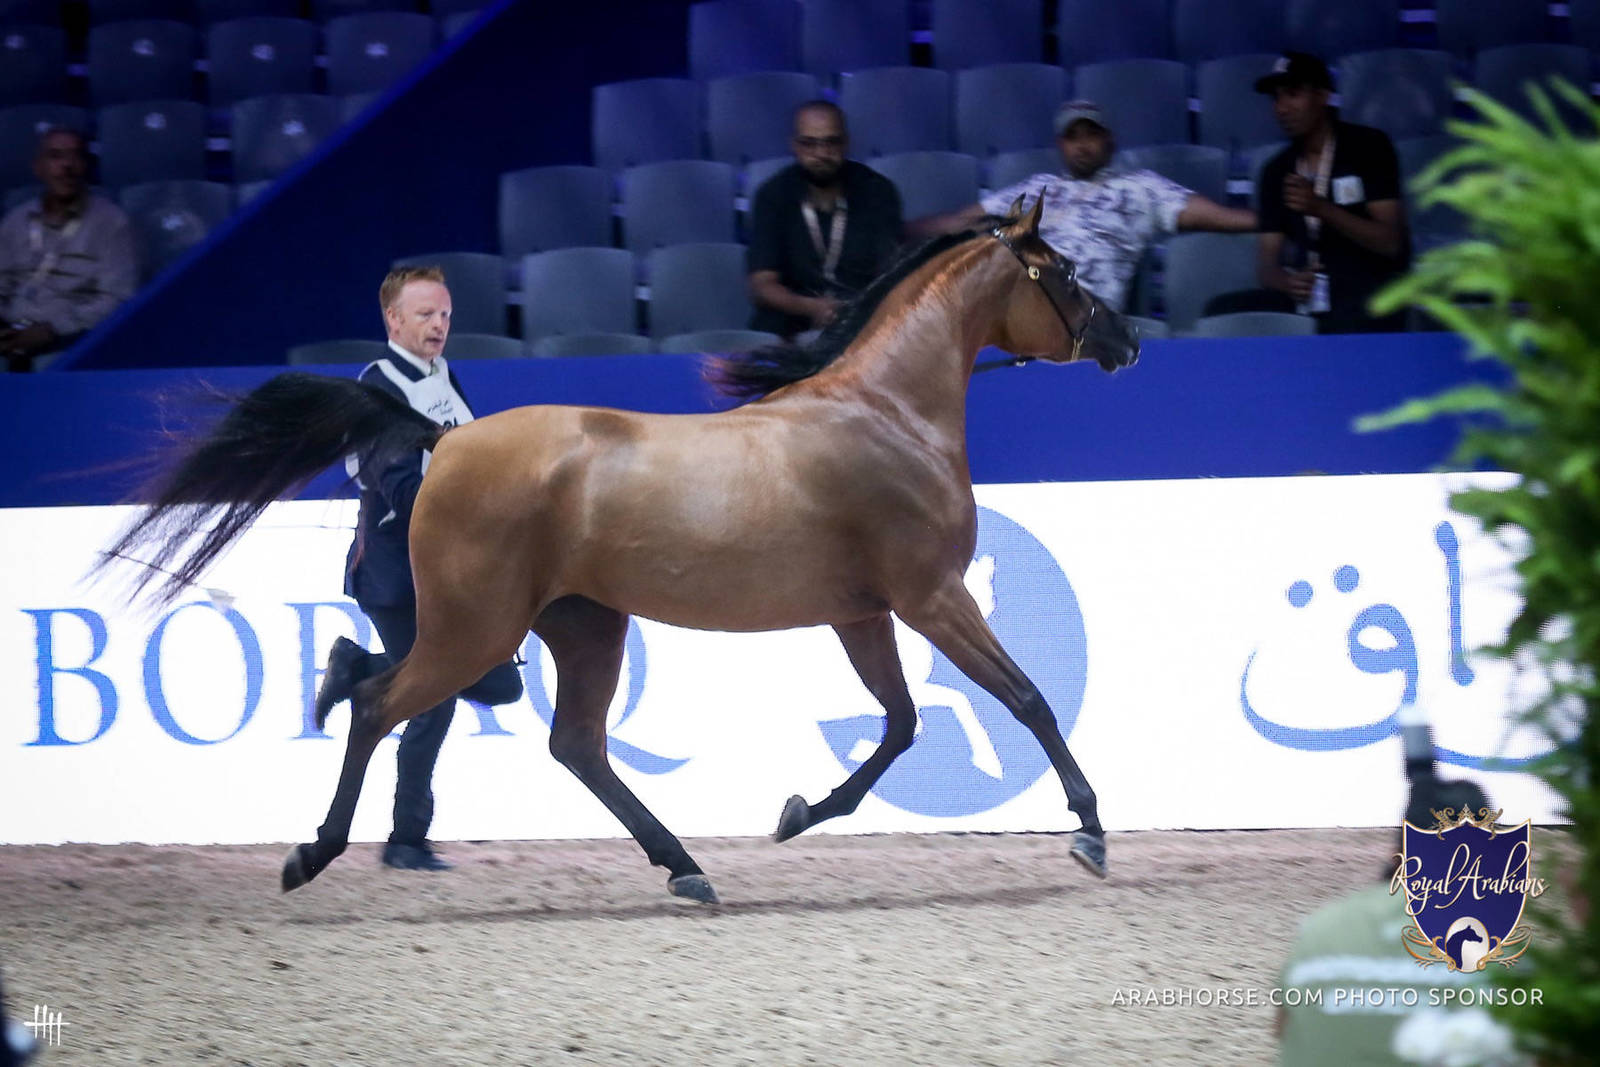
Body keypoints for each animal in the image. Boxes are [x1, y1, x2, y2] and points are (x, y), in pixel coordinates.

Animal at [99, 196, 1141, 904]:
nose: (1126, 340)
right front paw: (1090, 831)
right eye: (1066, 272)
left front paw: (797, 814)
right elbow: (1024, 699)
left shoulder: (865, 612)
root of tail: (442, 442)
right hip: (476, 633)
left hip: (581, 624)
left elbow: (900, 725)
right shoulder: (931, 595)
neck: (884, 416)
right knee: (377, 704)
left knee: (571, 742)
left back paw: (685, 867)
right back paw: (310, 851)